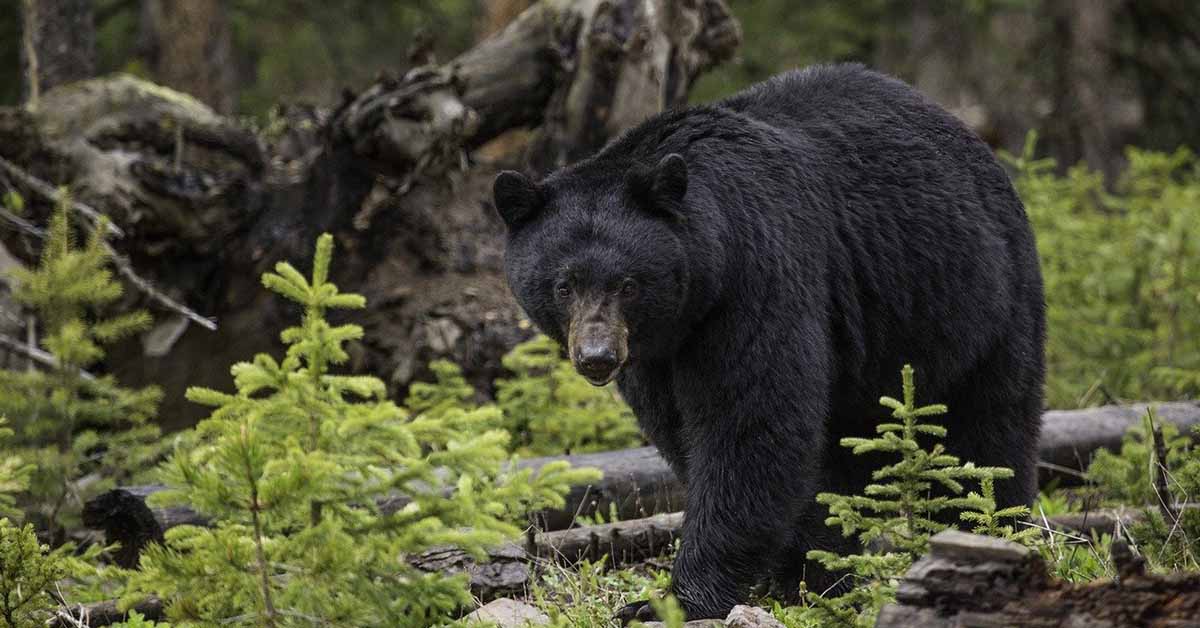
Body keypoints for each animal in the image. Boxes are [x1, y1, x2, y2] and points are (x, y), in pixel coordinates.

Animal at [492, 63, 1046, 619]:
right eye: (564, 285)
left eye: (628, 283)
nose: (597, 357)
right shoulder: (657, 354)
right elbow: (684, 431)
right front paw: (800, 572)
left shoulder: (757, 277)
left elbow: (751, 424)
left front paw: (674, 599)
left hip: (979, 299)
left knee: (989, 428)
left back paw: (990, 531)